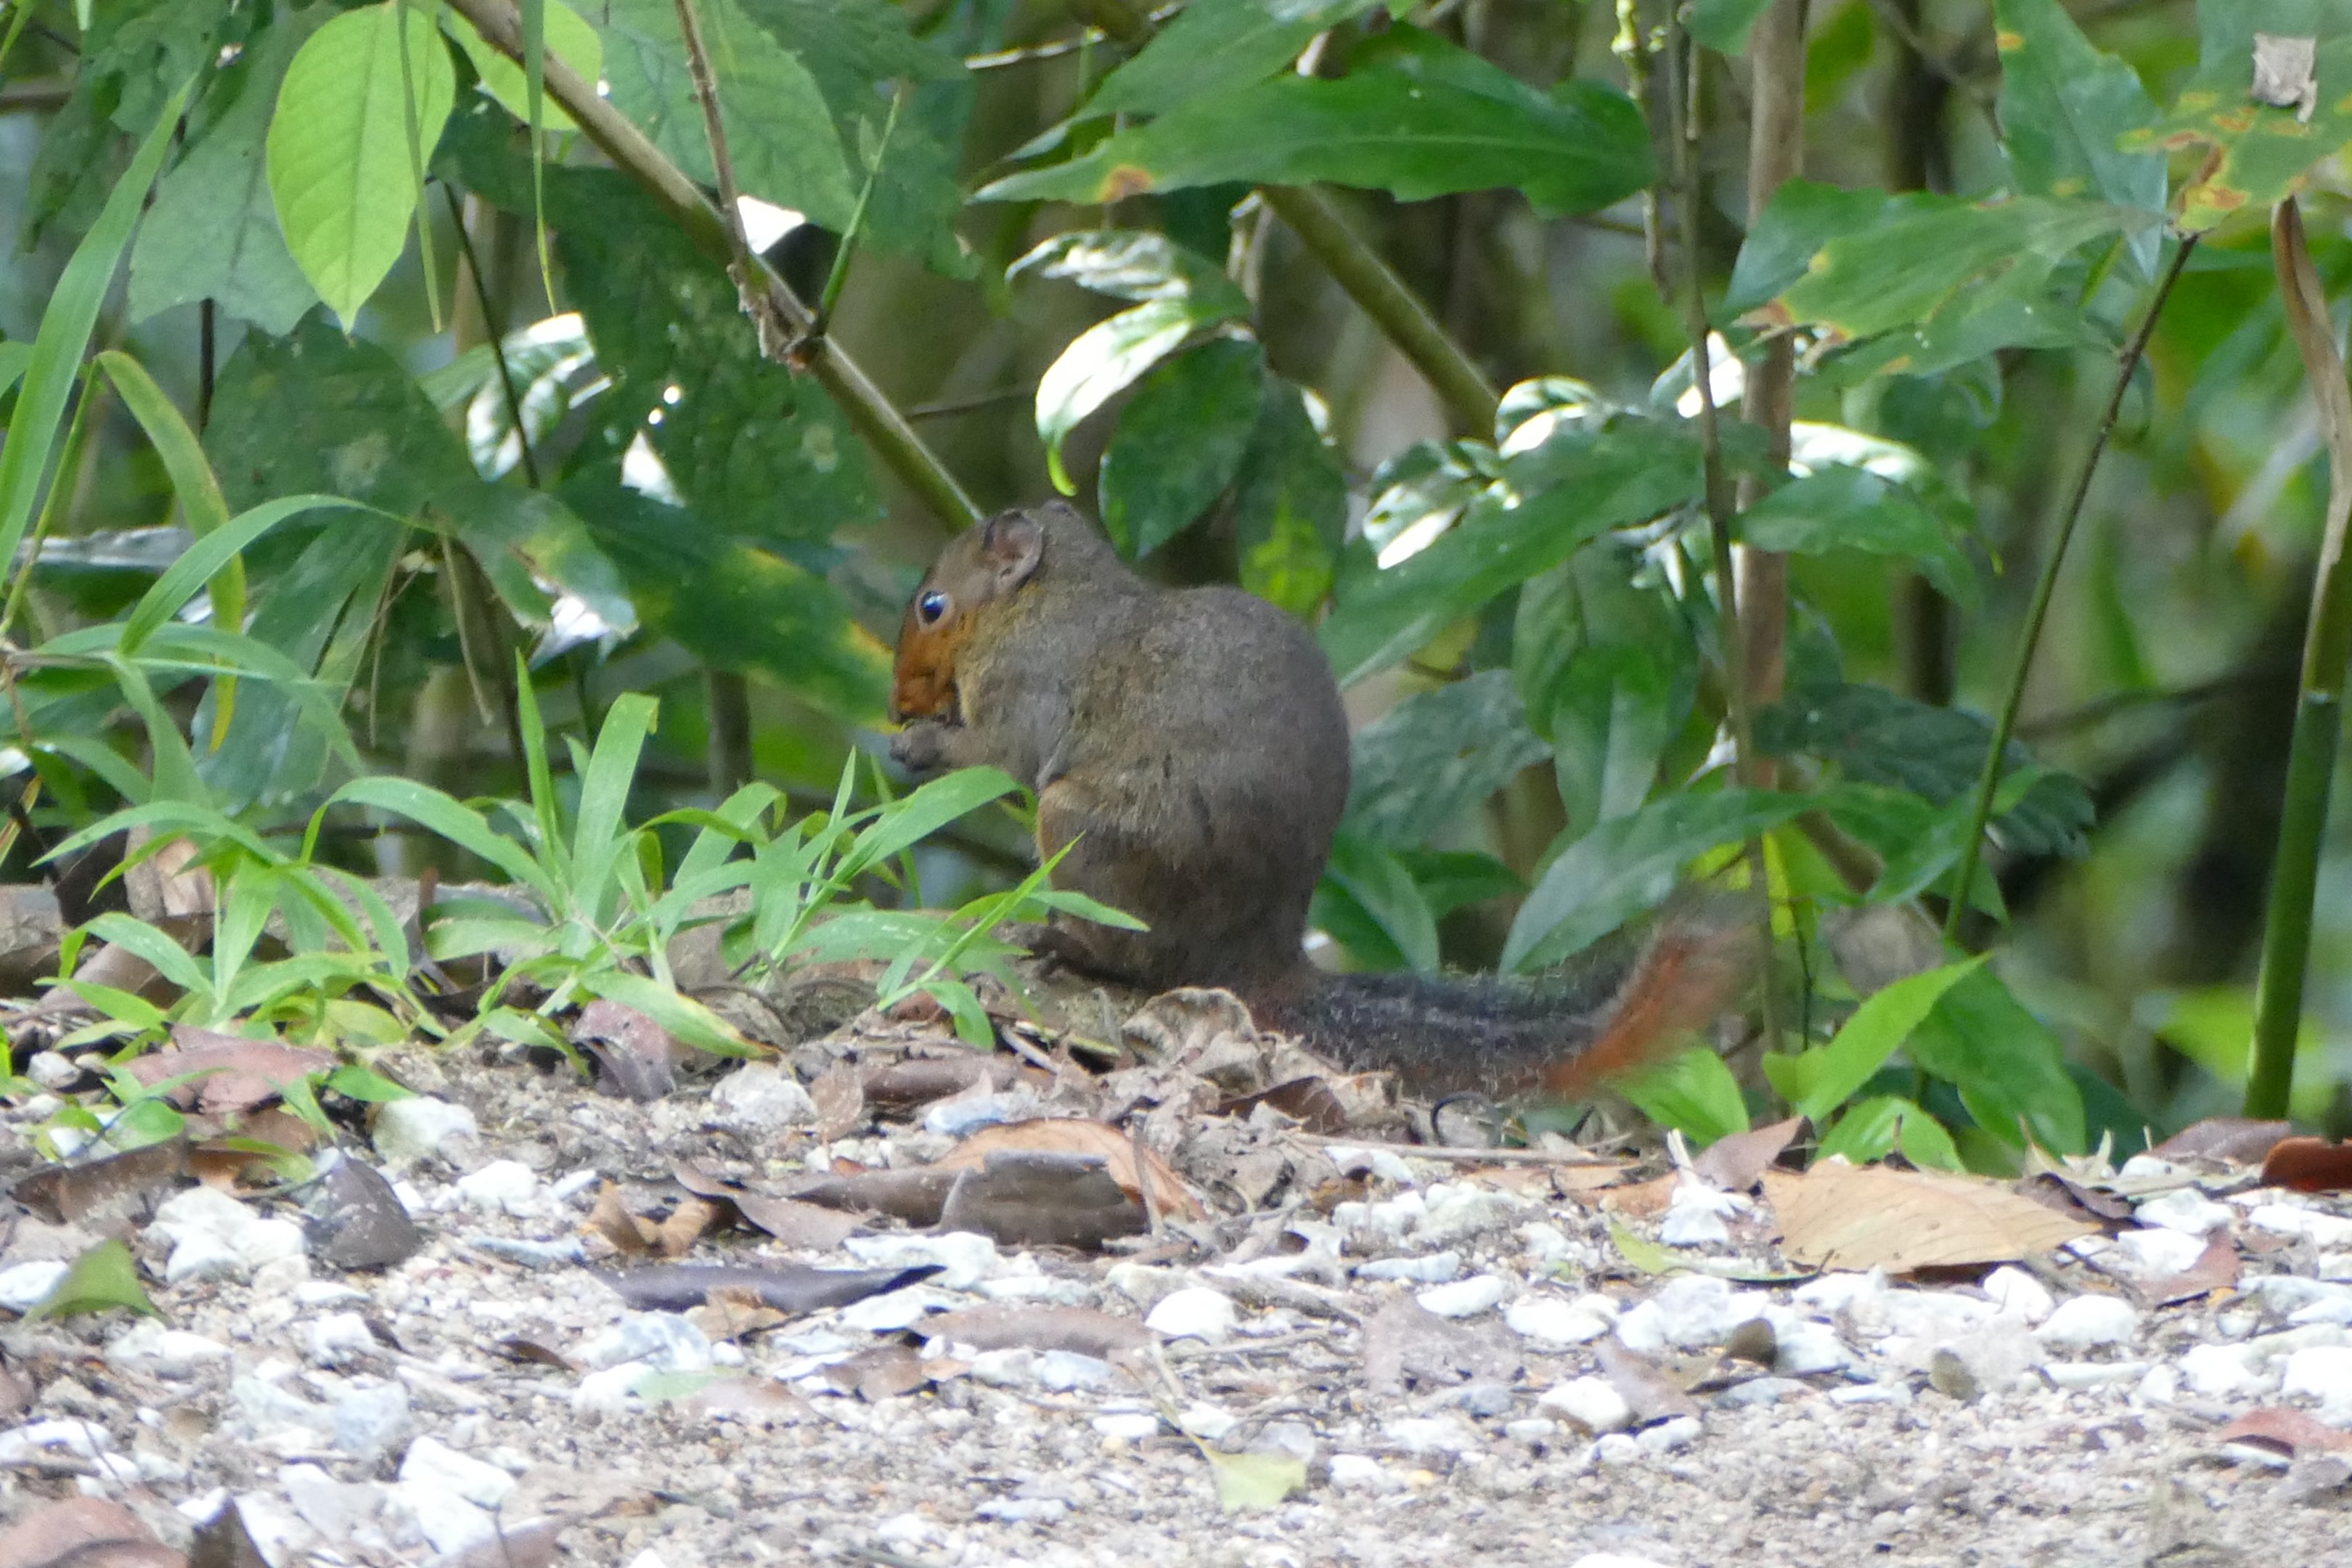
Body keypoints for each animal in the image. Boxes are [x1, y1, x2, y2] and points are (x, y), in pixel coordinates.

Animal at [888, 500, 1751, 1103]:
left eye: (932, 606)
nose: (897, 704)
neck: (1046, 600)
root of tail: (1256, 956)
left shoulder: (1032, 684)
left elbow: (999, 752)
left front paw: (922, 746)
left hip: (1082, 828)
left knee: (1142, 962)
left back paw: (1067, 945)